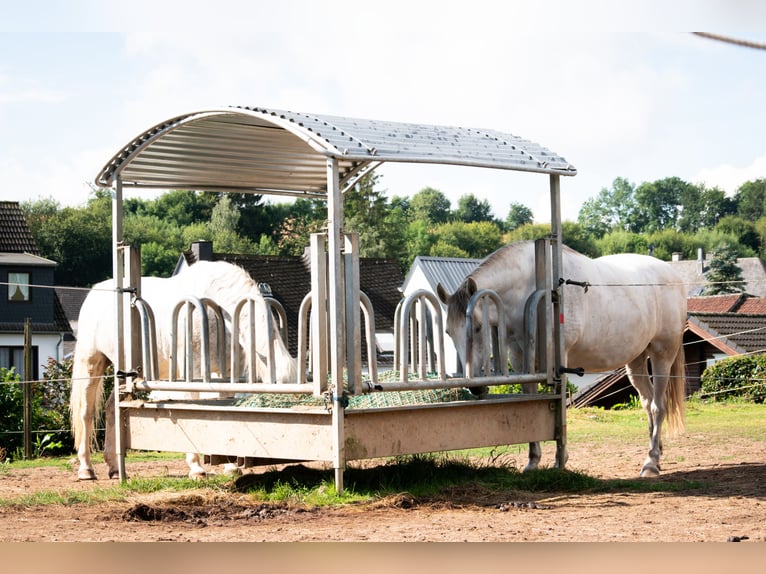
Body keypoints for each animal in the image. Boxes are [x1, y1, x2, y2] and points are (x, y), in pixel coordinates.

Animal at [70, 260, 296, 482]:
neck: (223, 312)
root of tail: (94, 292)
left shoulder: (227, 372)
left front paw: (230, 466)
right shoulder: (192, 372)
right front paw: (196, 468)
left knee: (111, 408)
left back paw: (115, 468)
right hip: (92, 364)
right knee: (86, 413)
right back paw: (86, 469)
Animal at [438, 241, 688, 480]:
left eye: (477, 327)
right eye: (448, 332)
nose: (475, 387)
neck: (537, 291)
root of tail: (674, 276)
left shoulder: (561, 363)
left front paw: (560, 461)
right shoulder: (522, 362)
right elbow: (530, 407)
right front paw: (533, 462)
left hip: (662, 354)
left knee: (657, 406)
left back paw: (651, 464)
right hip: (636, 360)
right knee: (647, 403)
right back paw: (657, 453)